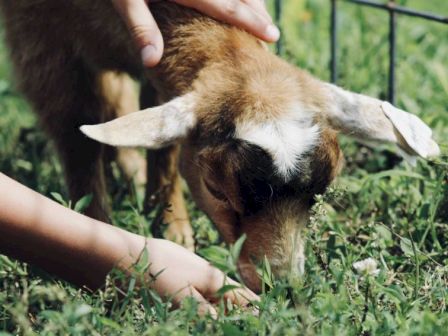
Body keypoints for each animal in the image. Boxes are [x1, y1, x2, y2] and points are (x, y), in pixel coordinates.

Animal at [0, 0, 440, 290]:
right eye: (217, 191)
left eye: (318, 194)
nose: (282, 286)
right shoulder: (38, 40)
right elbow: (74, 136)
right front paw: (98, 226)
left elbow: (164, 146)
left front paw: (171, 224)